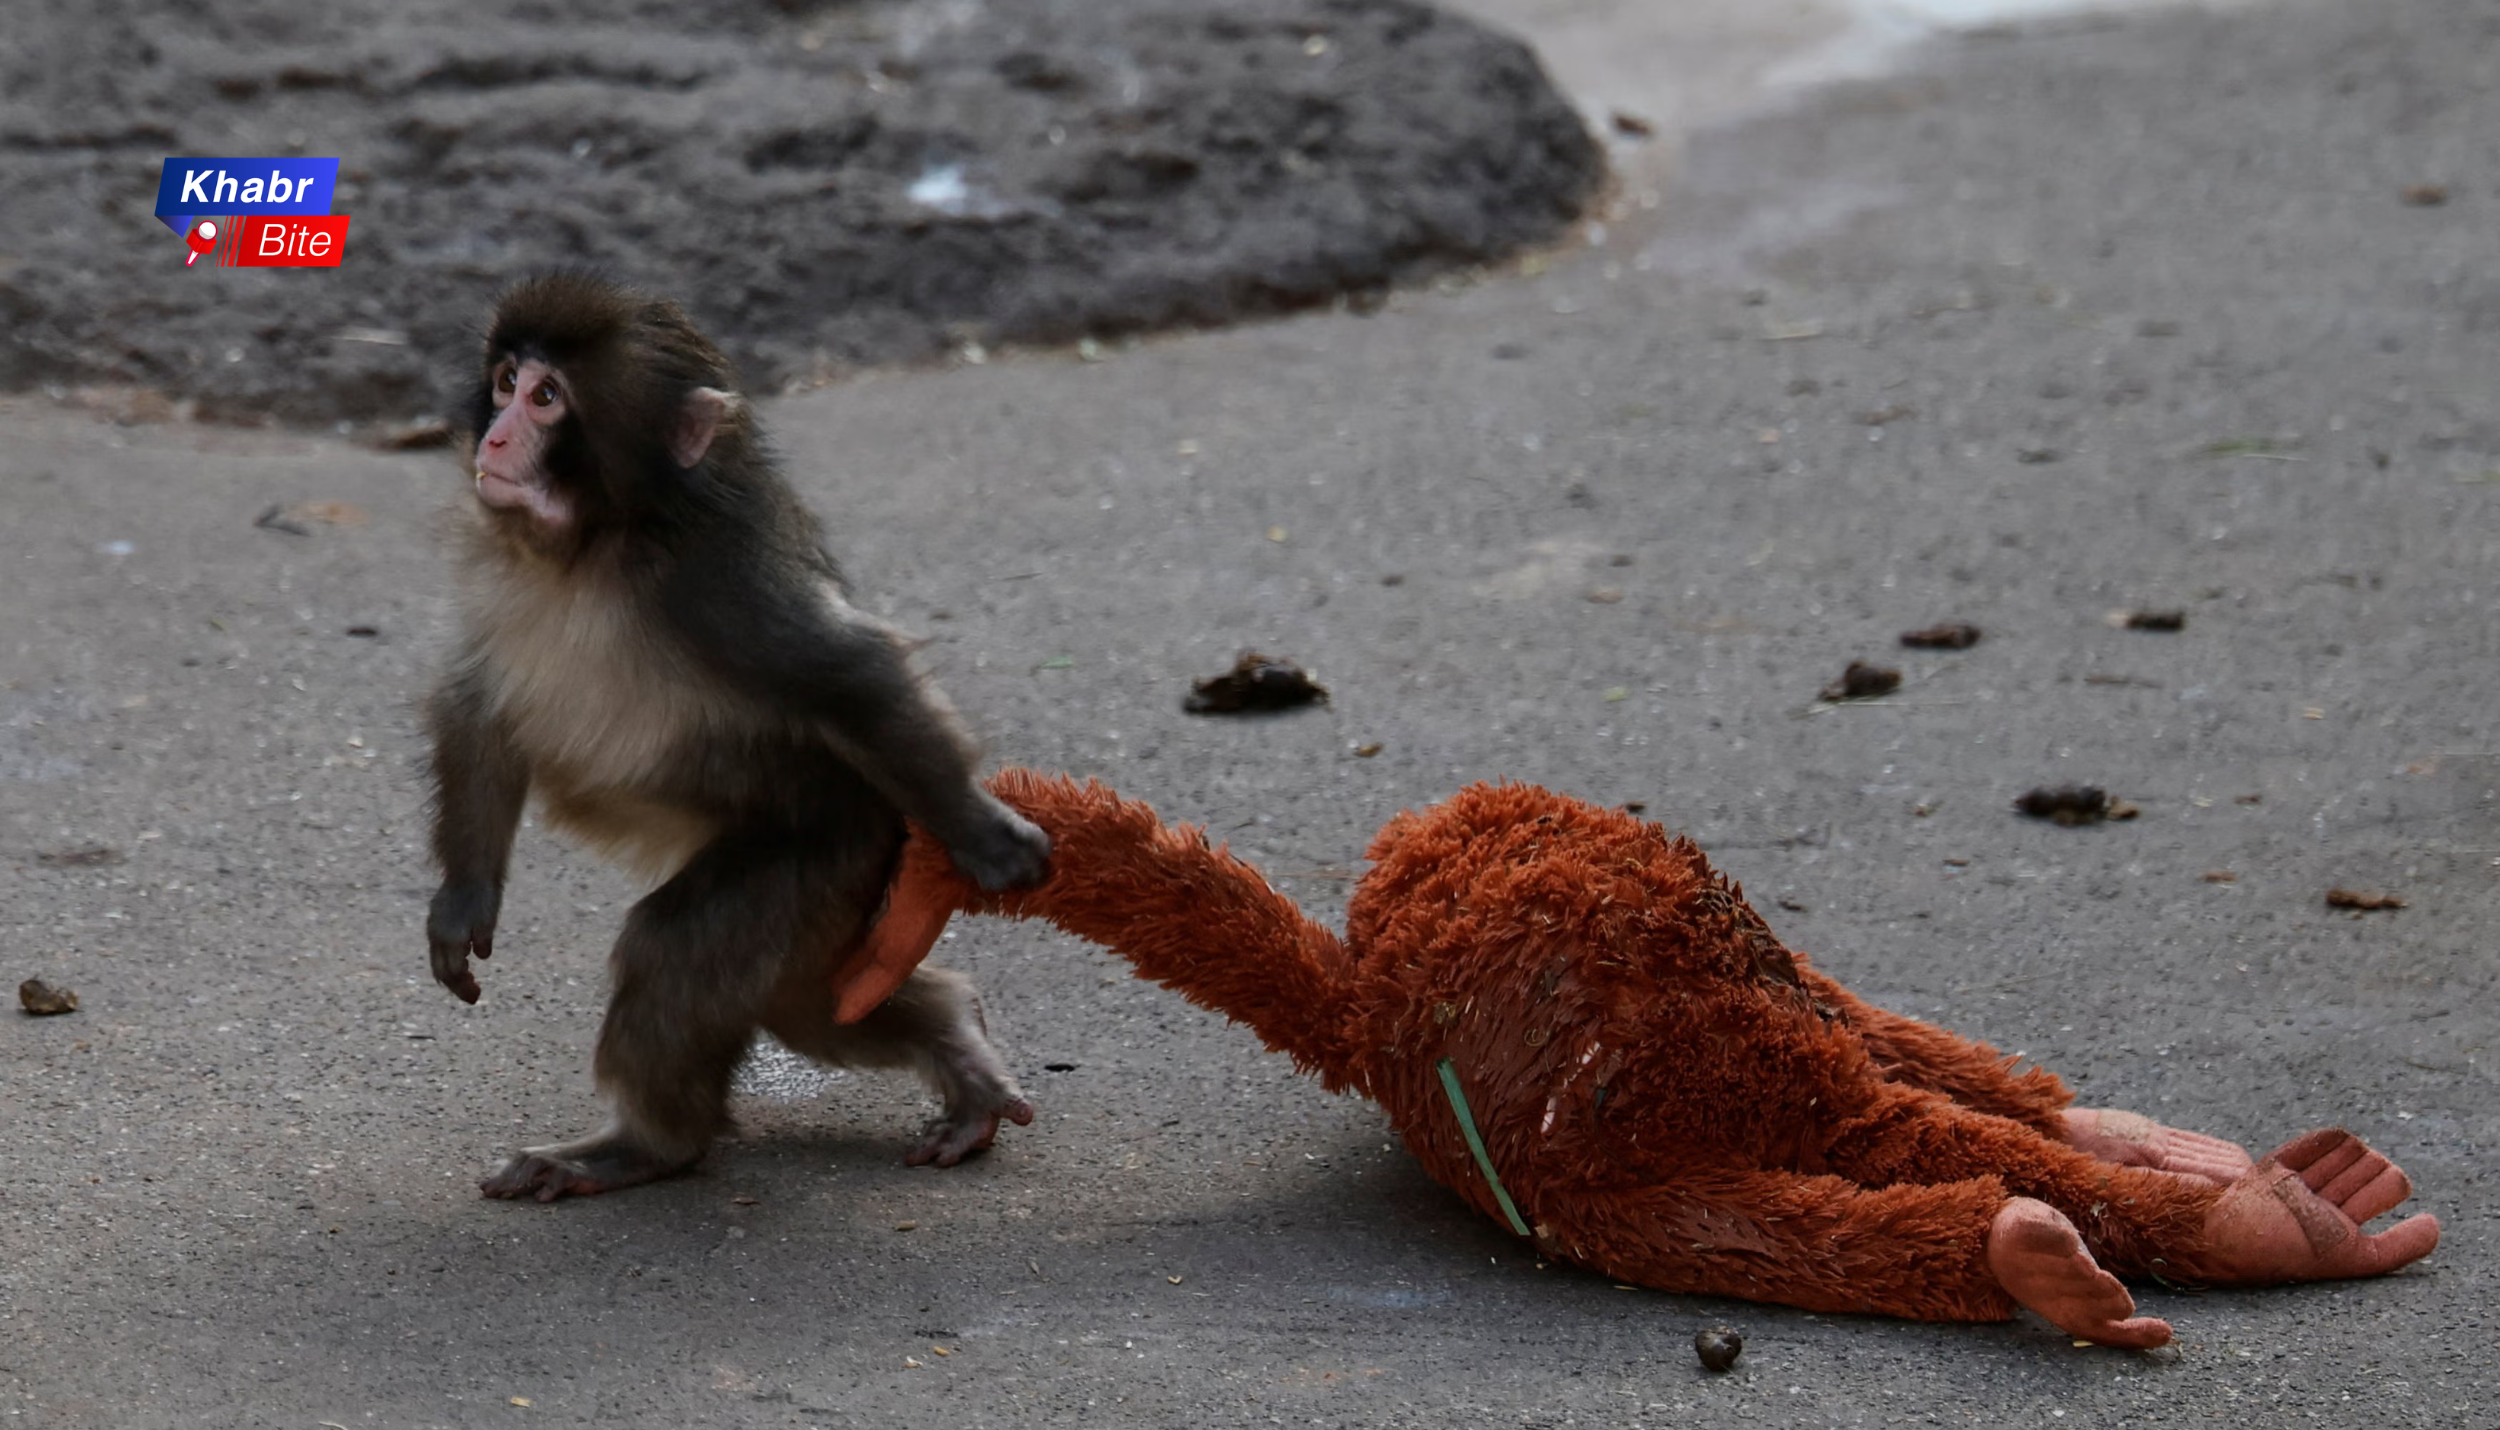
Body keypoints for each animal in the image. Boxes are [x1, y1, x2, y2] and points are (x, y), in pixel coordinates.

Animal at [425, 271, 1052, 1201]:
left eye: (546, 399)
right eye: (505, 382)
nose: (496, 436)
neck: (599, 543)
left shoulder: (721, 585)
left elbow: (850, 671)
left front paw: (985, 834)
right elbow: (477, 704)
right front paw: (464, 900)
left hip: (830, 849)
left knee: (682, 949)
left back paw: (648, 1145)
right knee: (813, 1003)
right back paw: (957, 1040)